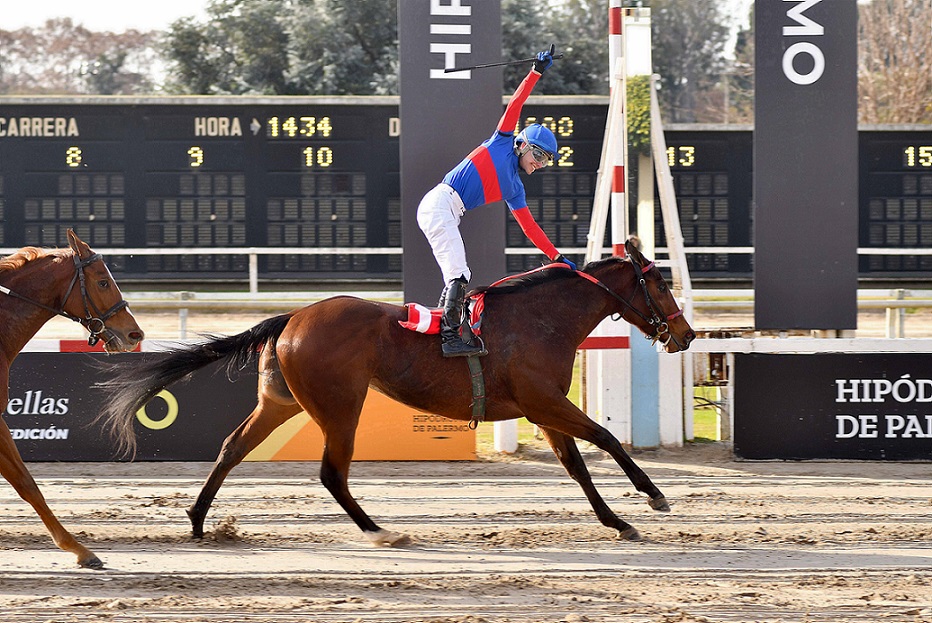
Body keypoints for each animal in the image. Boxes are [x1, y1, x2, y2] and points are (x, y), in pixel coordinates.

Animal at [97, 239, 694, 545]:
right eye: (661, 283)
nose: (686, 334)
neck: (542, 318)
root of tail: (293, 316)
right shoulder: (544, 401)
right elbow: (606, 440)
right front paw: (653, 495)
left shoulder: (541, 409)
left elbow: (578, 466)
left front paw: (618, 521)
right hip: (341, 404)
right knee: (331, 472)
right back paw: (380, 531)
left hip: (279, 403)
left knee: (232, 447)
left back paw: (199, 520)